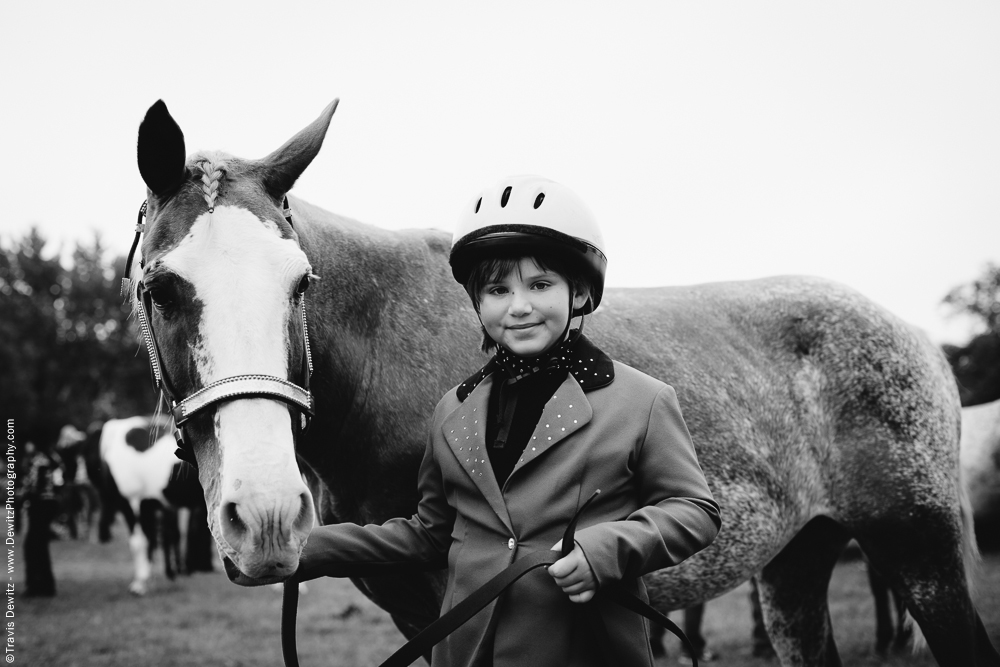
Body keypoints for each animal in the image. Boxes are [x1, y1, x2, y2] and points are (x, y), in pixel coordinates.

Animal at [133, 100, 1000, 667]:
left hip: (920, 553)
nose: (268, 517)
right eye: (162, 288)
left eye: (301, 282)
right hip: (796, 563)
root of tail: (915, 337)